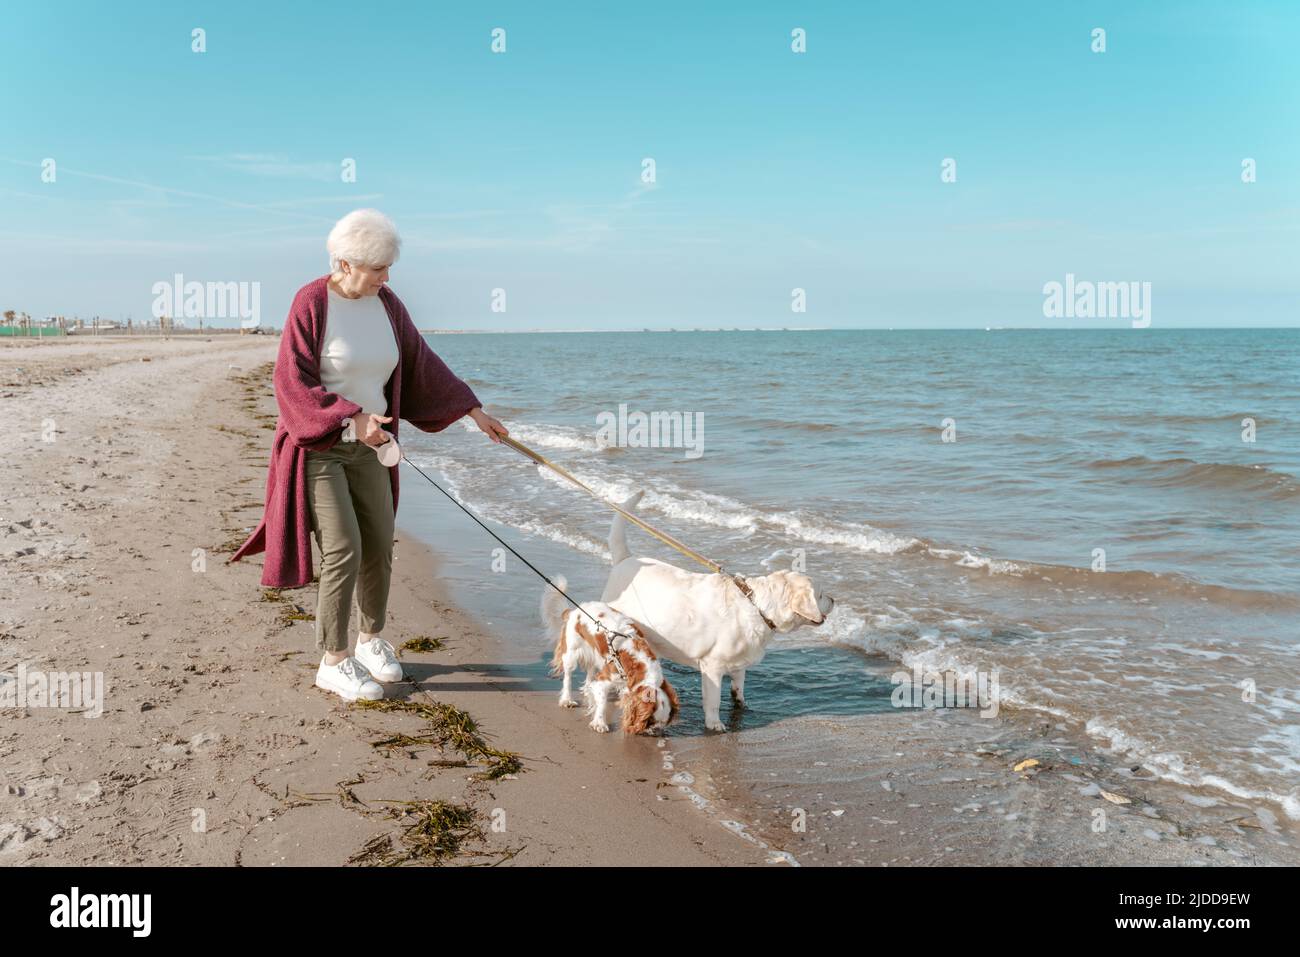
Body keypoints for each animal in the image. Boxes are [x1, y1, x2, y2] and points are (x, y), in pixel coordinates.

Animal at [540, 572, 681, 738]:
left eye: (663, 723)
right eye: (650, 722)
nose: (657, 732)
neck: (638, 665)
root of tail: (575, 611)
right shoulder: (606, 679)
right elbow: (602, 702)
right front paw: (599, 723)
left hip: (595, 656)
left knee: (590, 673)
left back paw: (587, 689)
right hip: (571, 653)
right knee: (567, 677)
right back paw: (567, 699)